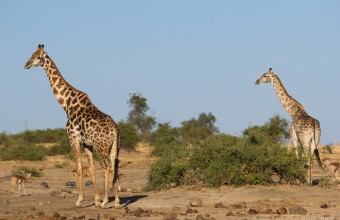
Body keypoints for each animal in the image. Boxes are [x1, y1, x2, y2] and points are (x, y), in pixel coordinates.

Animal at [24, 44, 119, 208]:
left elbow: (79, 169)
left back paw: (106, 200)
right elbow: (91, 169)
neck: (66, 104)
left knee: (106, 167)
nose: (26, 64)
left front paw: (80, 200)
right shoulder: (87, 144)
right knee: (115, 167)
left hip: (101, 146)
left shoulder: (73, 139)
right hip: (114, 147)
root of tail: (114, 131)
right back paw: (117, 201)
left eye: (38, 57)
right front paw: (95, 199)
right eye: (32, 54)